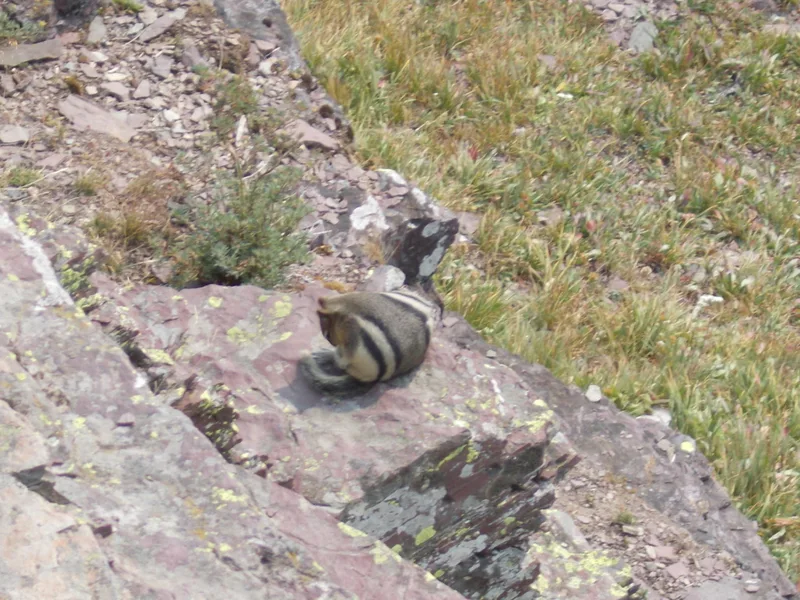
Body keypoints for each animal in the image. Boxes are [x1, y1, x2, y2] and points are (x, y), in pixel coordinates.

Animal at [299, 289, 440, 396]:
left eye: (327, 334)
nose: (333, 344)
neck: (347, 307)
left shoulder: (352, 333)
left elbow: (346, 355)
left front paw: (336, 356)